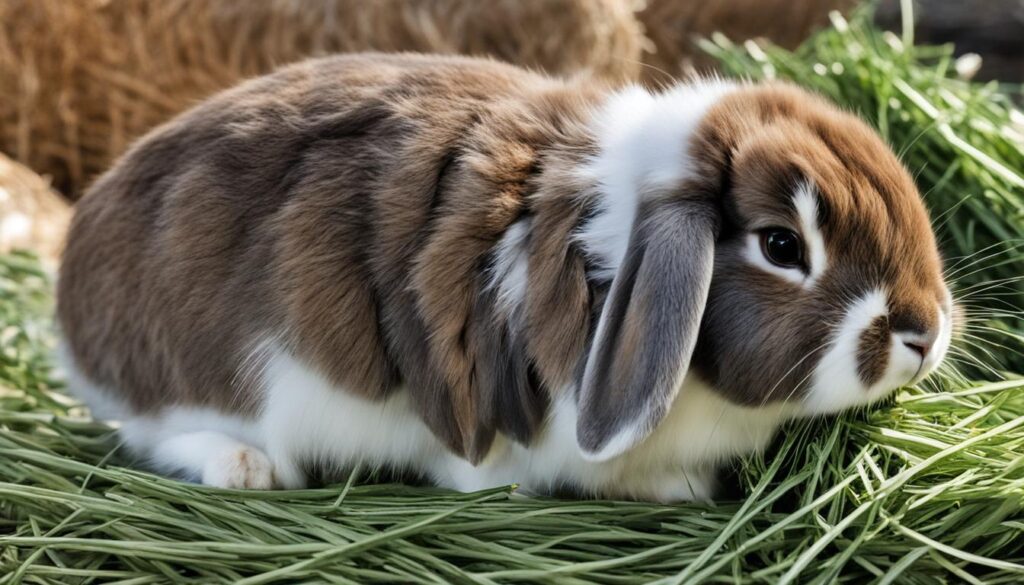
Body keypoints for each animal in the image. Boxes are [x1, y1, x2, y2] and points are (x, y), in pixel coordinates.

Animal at [56, 53, 950, 504]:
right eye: (781, 244)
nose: (926, 331)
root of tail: (70, 307)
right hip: (224, 383)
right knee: (155, 434)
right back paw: (245, 469)